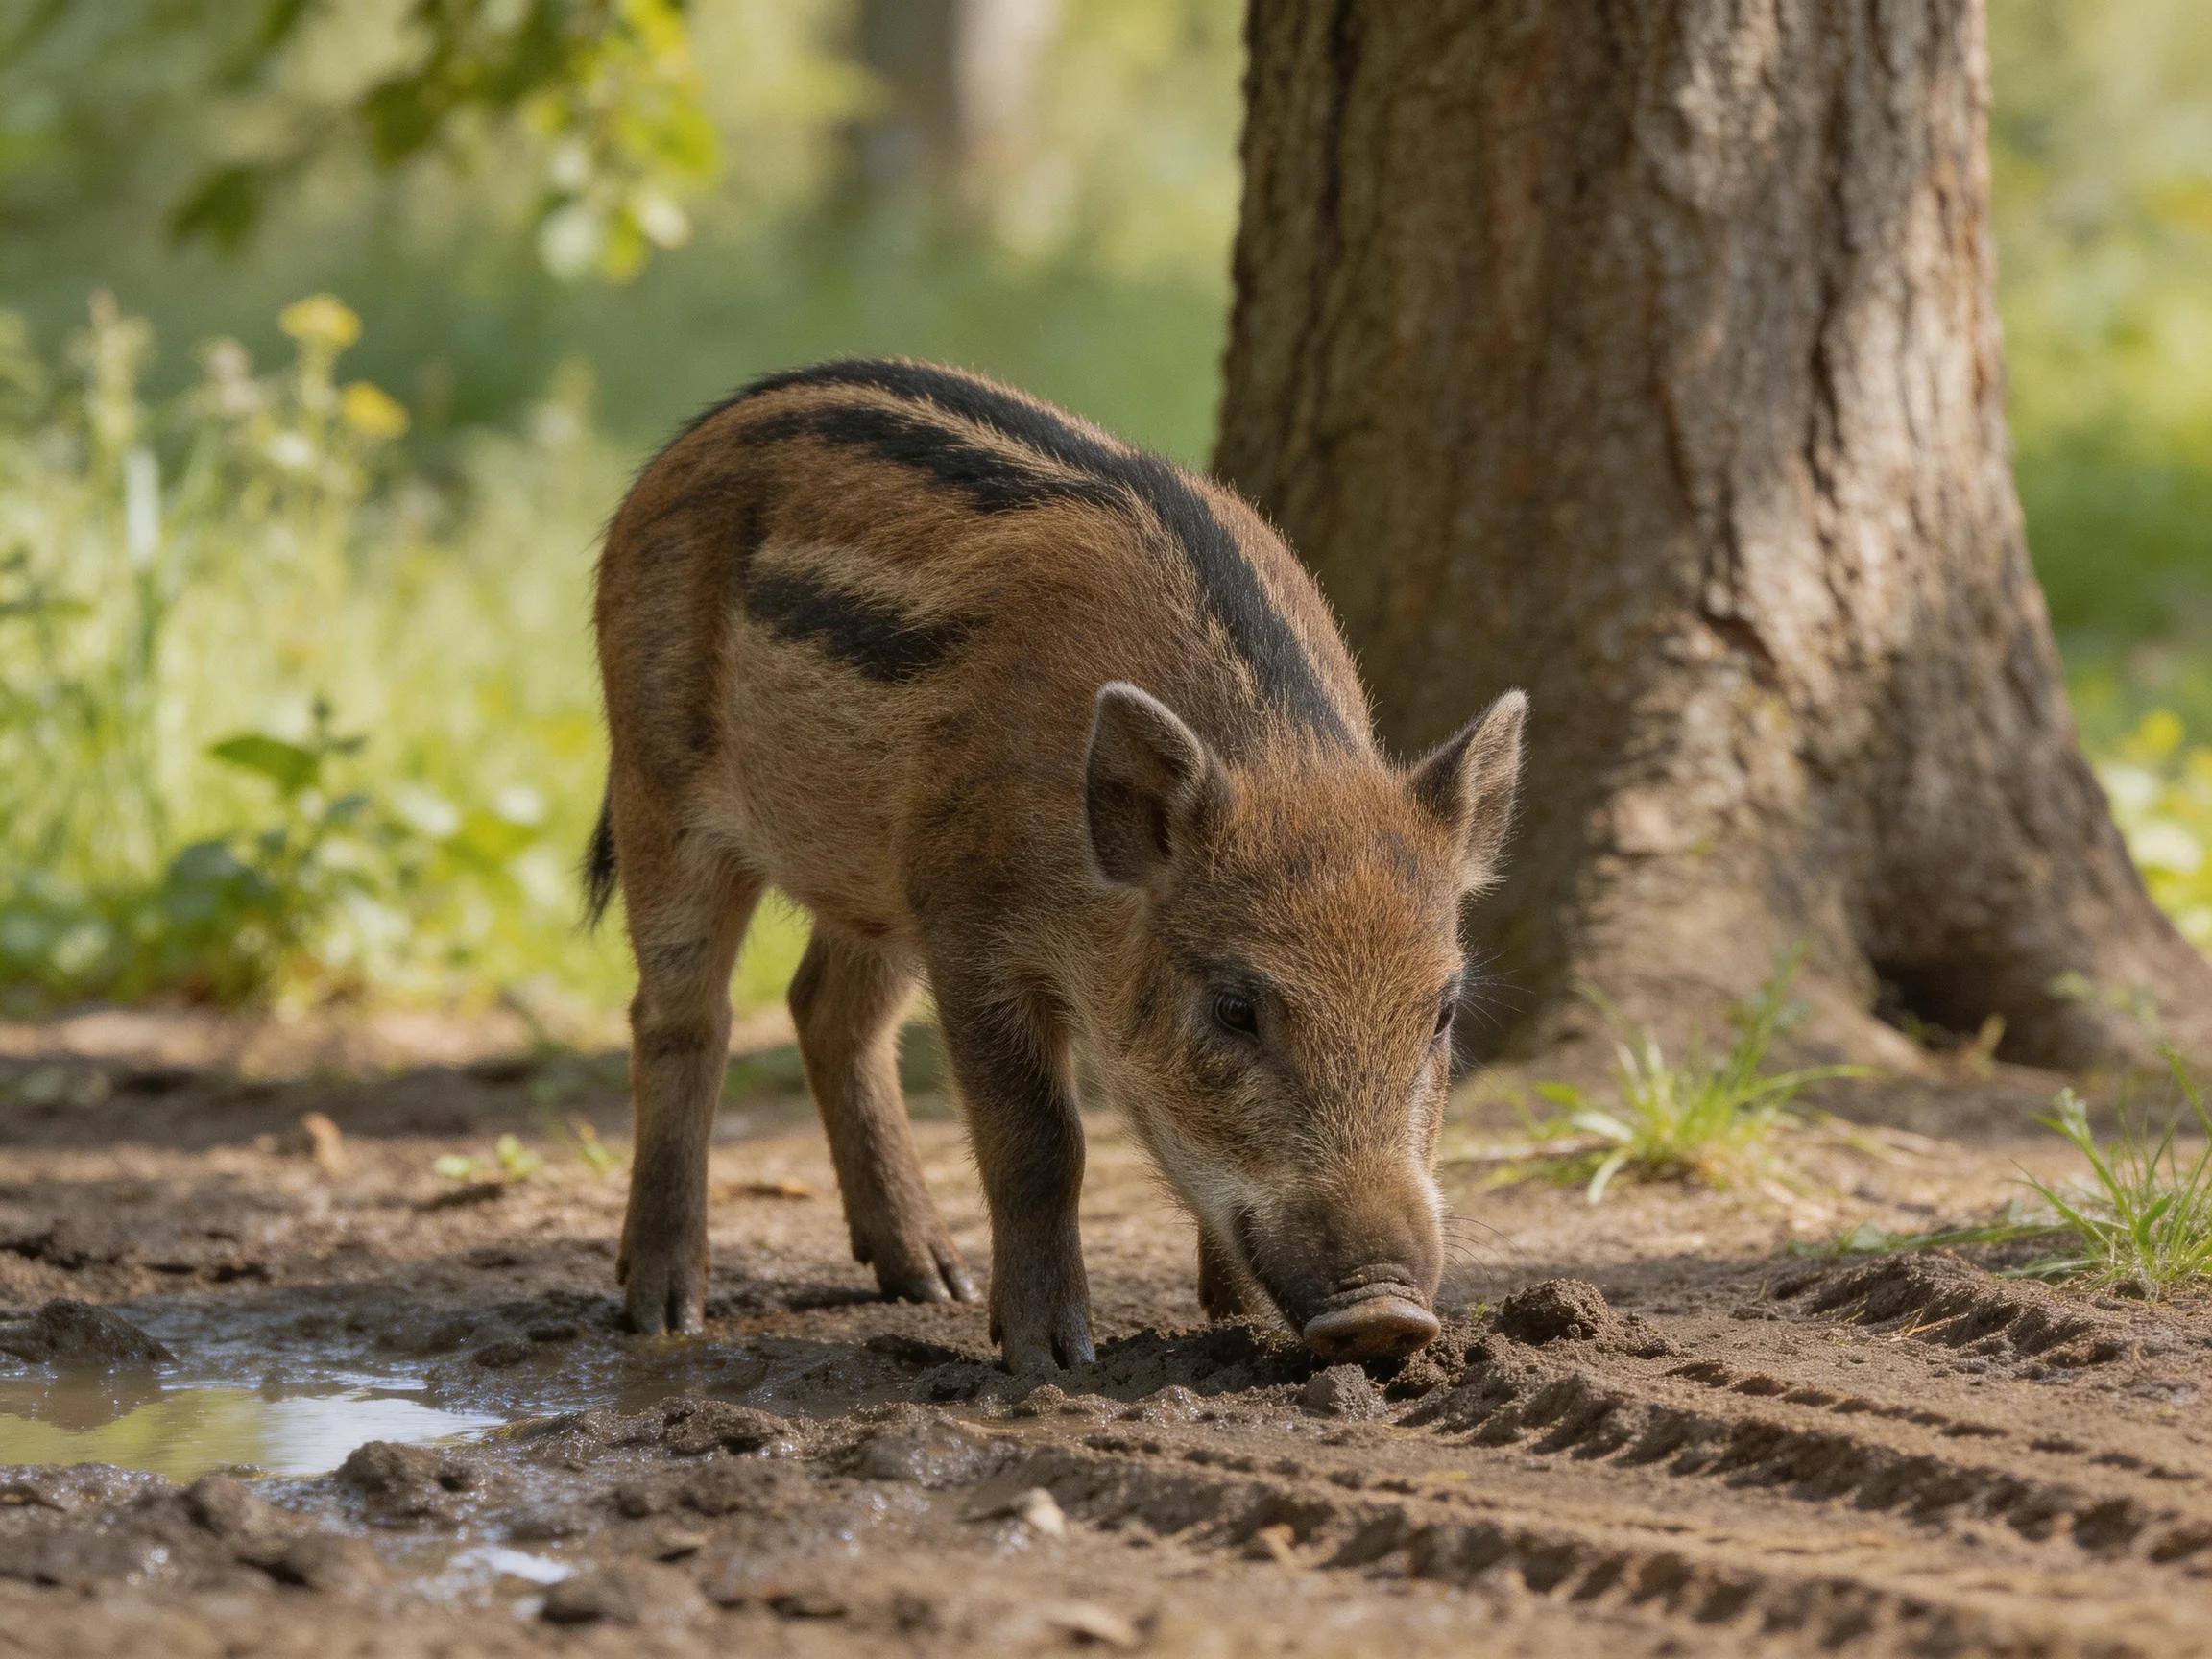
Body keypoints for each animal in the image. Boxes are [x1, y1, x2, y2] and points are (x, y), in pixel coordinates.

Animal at [587, 359, 1524, 1373]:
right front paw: (1052, 1357)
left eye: (1444, 1011)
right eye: (1234, 1008)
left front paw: (1228, 1325)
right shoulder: (969, 923)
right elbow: (1041, 1141)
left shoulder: (933, 894)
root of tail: (684, 443)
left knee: (828, 1010)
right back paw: (666, 1312)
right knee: (681, 1018)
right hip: (656, 784)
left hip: (876, 875)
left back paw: (932, 1282)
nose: (1387, 1314)